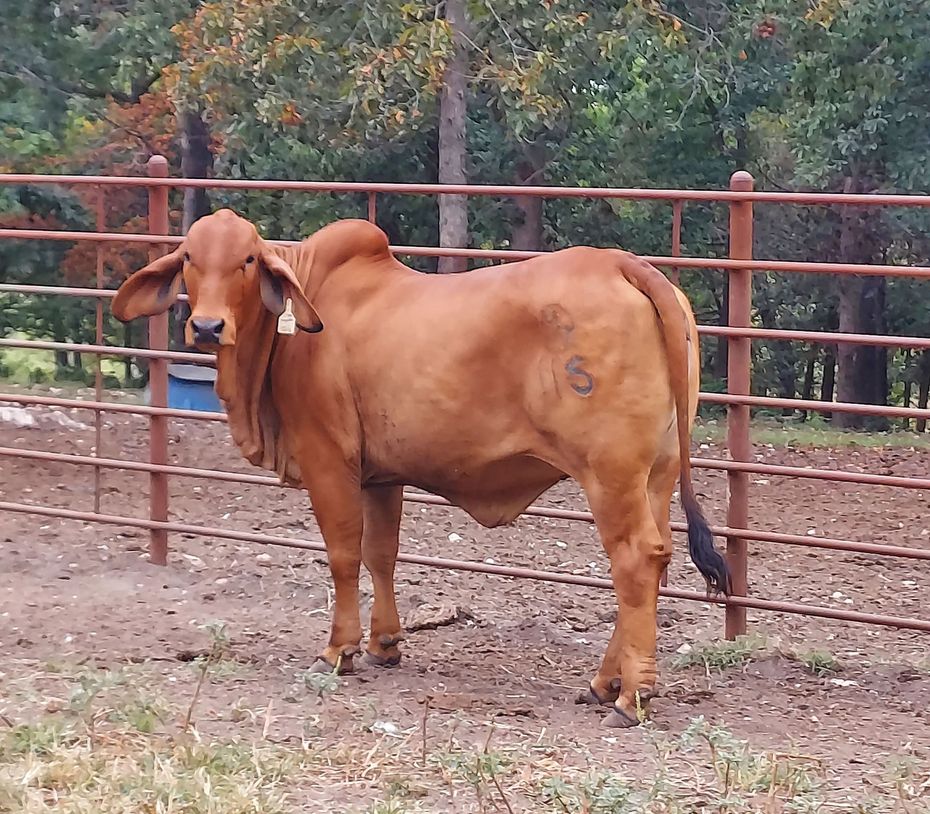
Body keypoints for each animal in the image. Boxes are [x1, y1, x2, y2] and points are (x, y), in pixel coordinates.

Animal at [112, 209, 731, 728]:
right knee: (655, 560)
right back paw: (607, 682)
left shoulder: (328, 458)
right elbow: (381, 553)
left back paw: (632, 696)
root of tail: (624, 264)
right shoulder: (382, 475)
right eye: (190, 258)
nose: (208, 327)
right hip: (655, 475)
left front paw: (340, 649)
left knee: (635, 561)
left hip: (609, 475)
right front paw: (385, 644)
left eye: (246, 259)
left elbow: (343, 554)